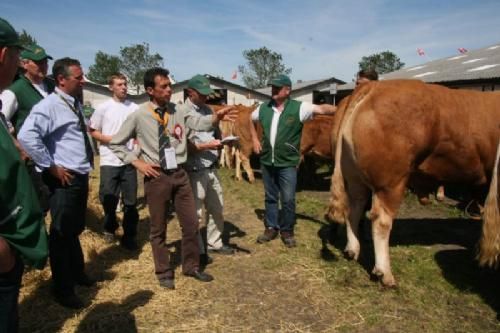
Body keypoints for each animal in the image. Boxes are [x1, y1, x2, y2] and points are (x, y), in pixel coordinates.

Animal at [326, 80, 498, 286]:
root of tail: (373, 85)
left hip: (354, 176)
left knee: (354, 208)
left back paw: (352, 250)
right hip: (392, 181)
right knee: (381, 220)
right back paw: (385, 274)